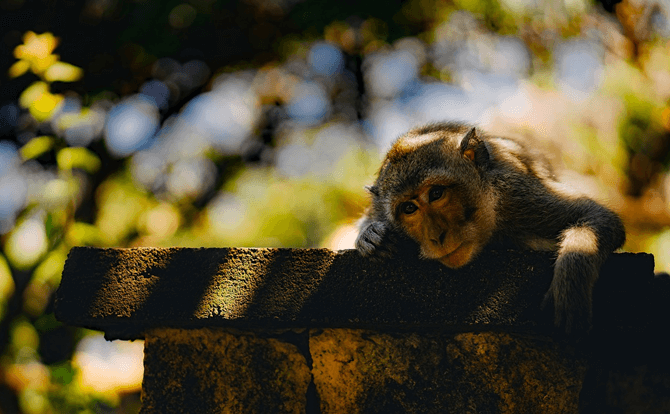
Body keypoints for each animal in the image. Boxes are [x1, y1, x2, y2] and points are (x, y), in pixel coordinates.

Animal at [360, 123, 628, 334]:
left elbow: (596, 216)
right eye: (409, 208)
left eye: (436, 193)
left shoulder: (515, 194)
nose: (437, 236)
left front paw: (570, 286)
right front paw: (371, 237)